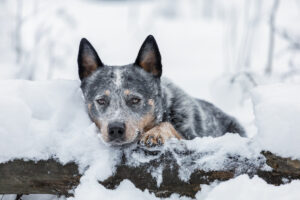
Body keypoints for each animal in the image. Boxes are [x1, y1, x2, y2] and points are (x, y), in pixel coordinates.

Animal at [78, 35, 246, 146]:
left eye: (135, 100)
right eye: (101, 100)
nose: (115, 129)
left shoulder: (193, 136)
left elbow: (167, 125)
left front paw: (155, 133)